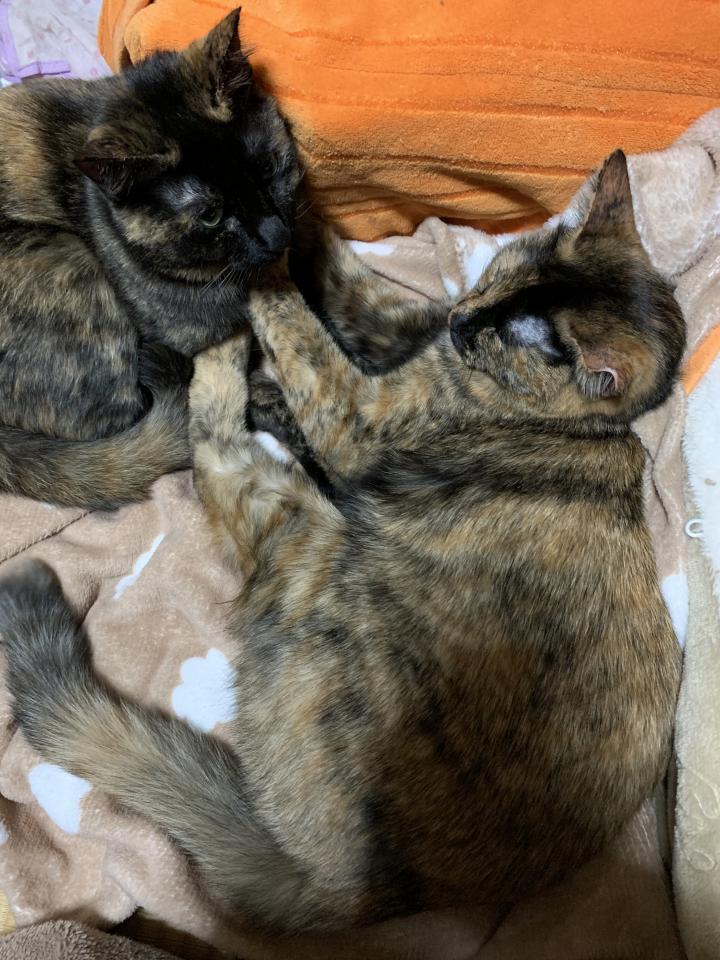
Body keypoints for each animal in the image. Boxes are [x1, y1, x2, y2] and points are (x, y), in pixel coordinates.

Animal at [0, 9, 299, 510]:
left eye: (267, 168)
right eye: (211, 215)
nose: (278, 236)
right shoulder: (185, 348)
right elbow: (250, 389)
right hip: (67, 257)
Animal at [0, 151, 683, 937]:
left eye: (510, 338)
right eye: (497, 275)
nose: (464, 320)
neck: (574, 421)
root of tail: (356, 895)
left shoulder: (357, 414)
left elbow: (300, 334)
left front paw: (262, 268)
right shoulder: (401, 327)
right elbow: (347, 284)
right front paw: (299, 212)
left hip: (308, 536)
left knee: (214, 449)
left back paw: (218, 354)